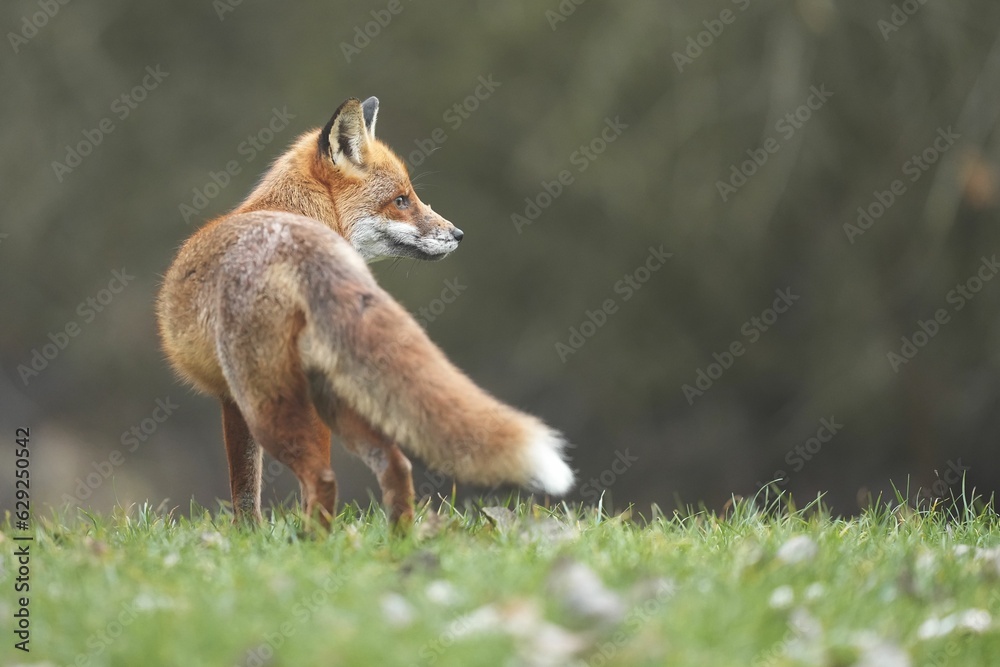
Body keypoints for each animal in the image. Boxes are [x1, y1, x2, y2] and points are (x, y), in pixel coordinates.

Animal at [156, 96, 574, 527]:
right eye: (401, 200)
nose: (458, 235)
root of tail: (303, 249)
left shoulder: (231, 398)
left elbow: (243, 490)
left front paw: (248, 536)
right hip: (336, 394)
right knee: (395, 463)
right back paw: (398, 536)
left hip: (268, 403)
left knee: (321, 476)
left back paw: (314, 538)